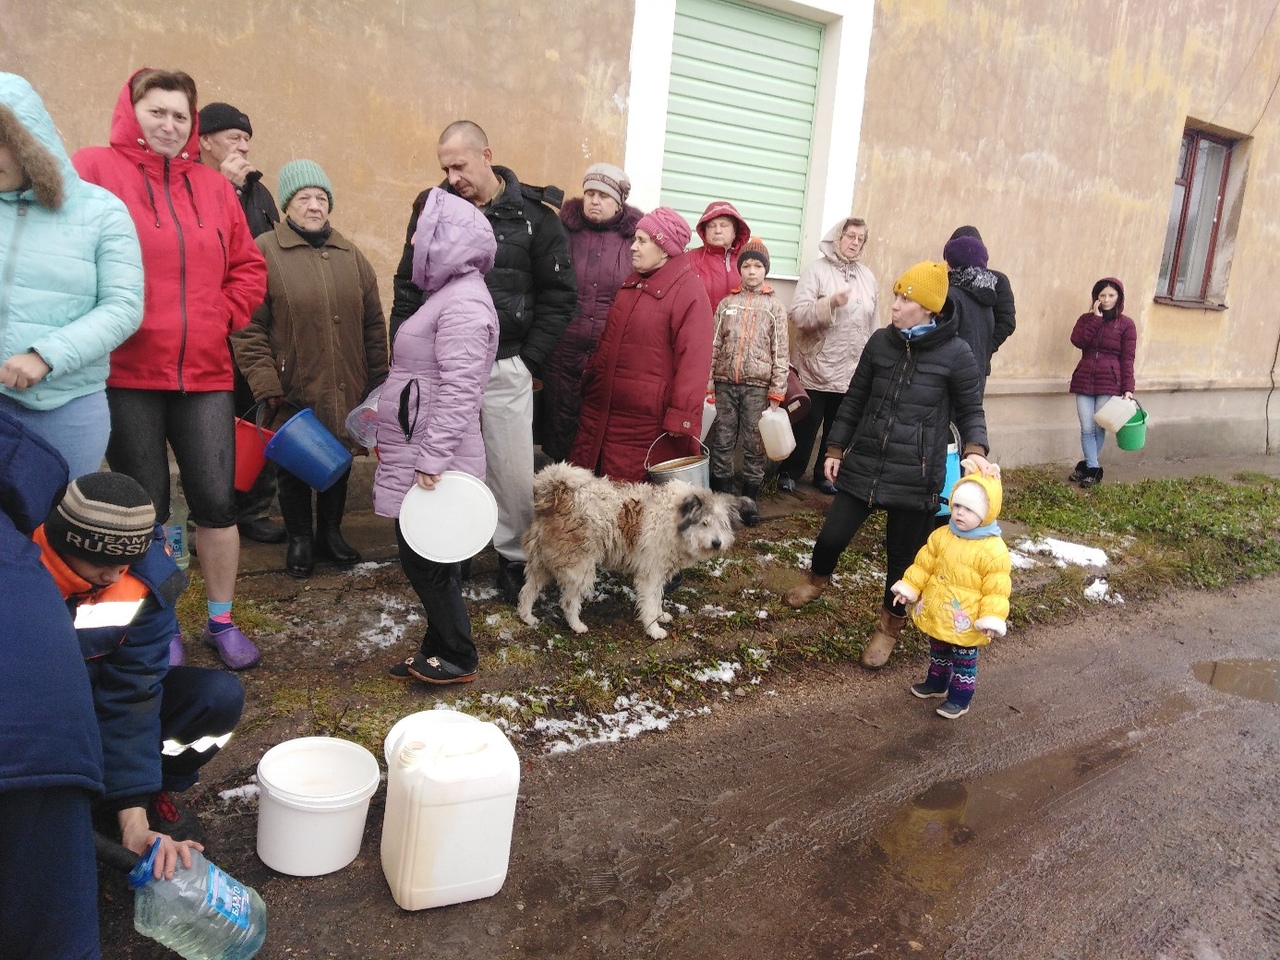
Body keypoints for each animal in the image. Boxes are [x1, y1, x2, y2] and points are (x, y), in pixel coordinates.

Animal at [517, 463, 747, 640]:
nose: (717, 543)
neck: (675, 518)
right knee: (567, 602)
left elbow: (657, 598)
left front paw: (660, 617)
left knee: (527, 592)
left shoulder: (659, 572)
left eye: (723, 525)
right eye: (704, 523)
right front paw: (654, 629)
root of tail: (559, 493)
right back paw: (577, 626)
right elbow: (650, 603)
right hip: (579, 567)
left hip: (543, 562)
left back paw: (527, 618)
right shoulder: (650, 574)